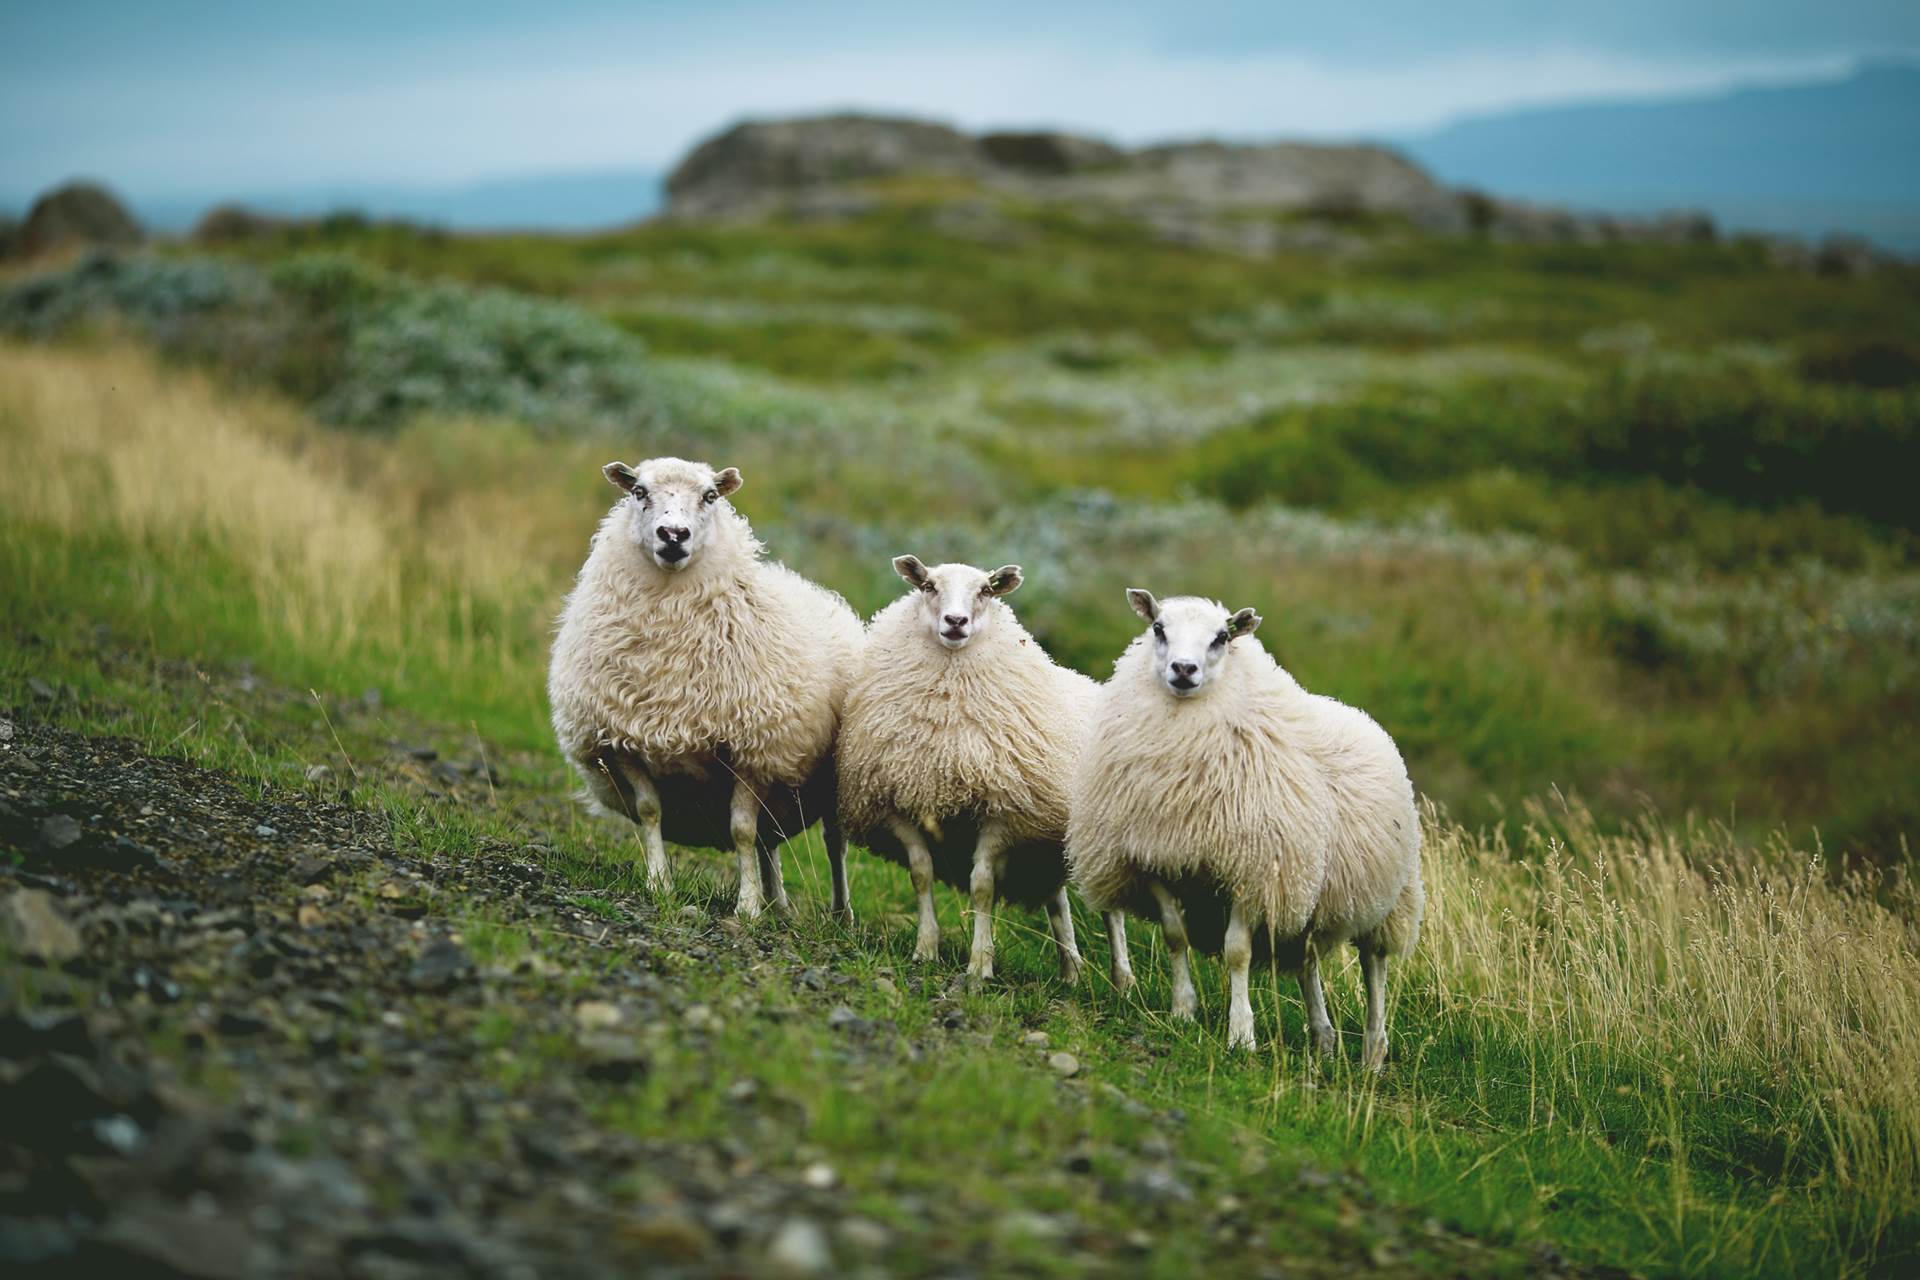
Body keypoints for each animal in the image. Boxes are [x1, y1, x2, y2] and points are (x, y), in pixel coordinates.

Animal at [549, 454, 864, 917]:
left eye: (710, 496)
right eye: (638, 491)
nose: (673, 535)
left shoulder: (752, 752)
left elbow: (742, 831)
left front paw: (747, 908)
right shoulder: (621, 741)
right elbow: (650, 812)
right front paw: (659, 884)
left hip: (830, 777)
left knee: (832, 842)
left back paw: (840, 912)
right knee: (771, 841)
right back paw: (778, 903)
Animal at [840, 552, 1136, 990]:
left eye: (985, 591)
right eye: (928, 586)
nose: (955, 621)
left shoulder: (1001, 812)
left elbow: (982, 887)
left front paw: (979, 965)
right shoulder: (898, 804)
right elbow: (921, 874)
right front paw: (925, 950)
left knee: (1111, 910)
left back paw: (1123, 980)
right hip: (1047, 846)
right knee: (1058, 902)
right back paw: (1071, 972)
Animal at [1075, 594, 1420, 1074]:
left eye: (1222, 637)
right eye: (1159, 628)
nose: (1184, 669)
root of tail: (1362, 716)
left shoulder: (1251, 870)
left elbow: (1237, 951)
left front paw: (1241, 1035)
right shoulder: (1154, 857)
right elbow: (1174, 935)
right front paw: (1183, 1011)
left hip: (1387, 897)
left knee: (1375, 967)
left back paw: (1373, 1052)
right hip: (1307, 894)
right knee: (1309, 961)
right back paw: (1323, 1038)